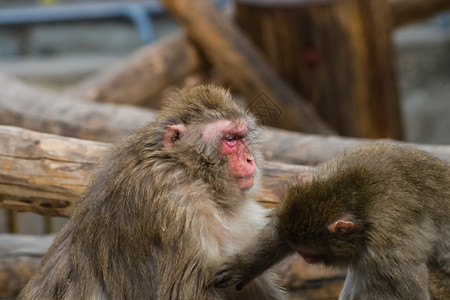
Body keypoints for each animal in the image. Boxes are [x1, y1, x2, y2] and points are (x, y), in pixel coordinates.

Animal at [215, 144, 450, 298]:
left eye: (311, 252)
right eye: (300, 249)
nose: (305, 258)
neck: (352, 196)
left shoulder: (391, 247)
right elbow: (279, 230)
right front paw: (244, 268)